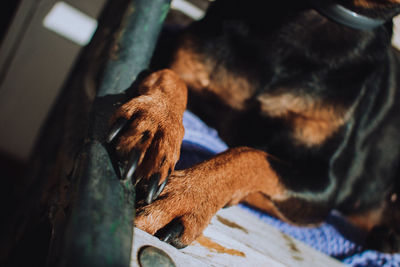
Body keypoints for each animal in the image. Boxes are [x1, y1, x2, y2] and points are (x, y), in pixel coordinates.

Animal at [106, 0, 400, 253]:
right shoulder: (176, 53)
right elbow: (170, 76)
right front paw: (155, 125)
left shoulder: (323, 185)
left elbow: (249, 156)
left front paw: (186, 198)